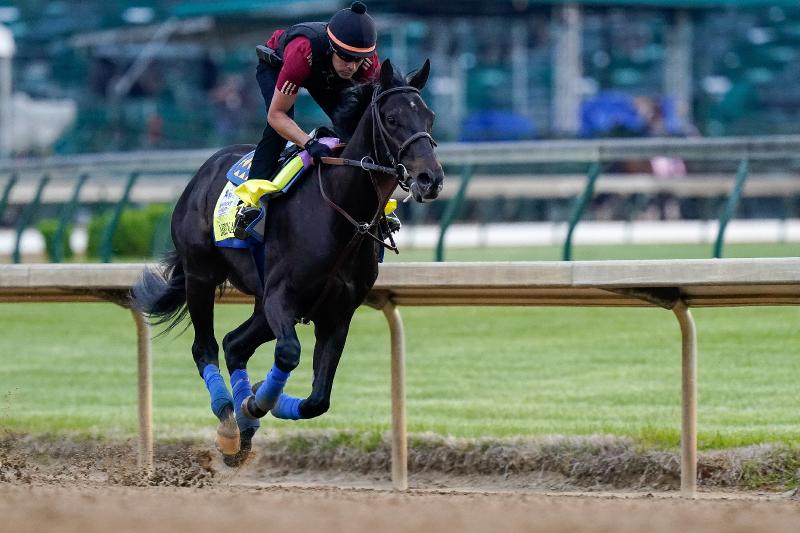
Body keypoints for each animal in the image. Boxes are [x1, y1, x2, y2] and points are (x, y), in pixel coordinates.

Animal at [130, 58, 444, 464]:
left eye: (429, 117)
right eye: (391, 118)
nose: (430, 178)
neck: (341, 213)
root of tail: (203, 171)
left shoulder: (337, 313)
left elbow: (318, 400)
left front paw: (263, 401)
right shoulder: (282, 297)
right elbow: (290, 353)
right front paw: (255, 402)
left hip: (261, 306)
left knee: (234, 344)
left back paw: (244, 421)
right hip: (201, 275)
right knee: (207, 347)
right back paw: (229, 419)